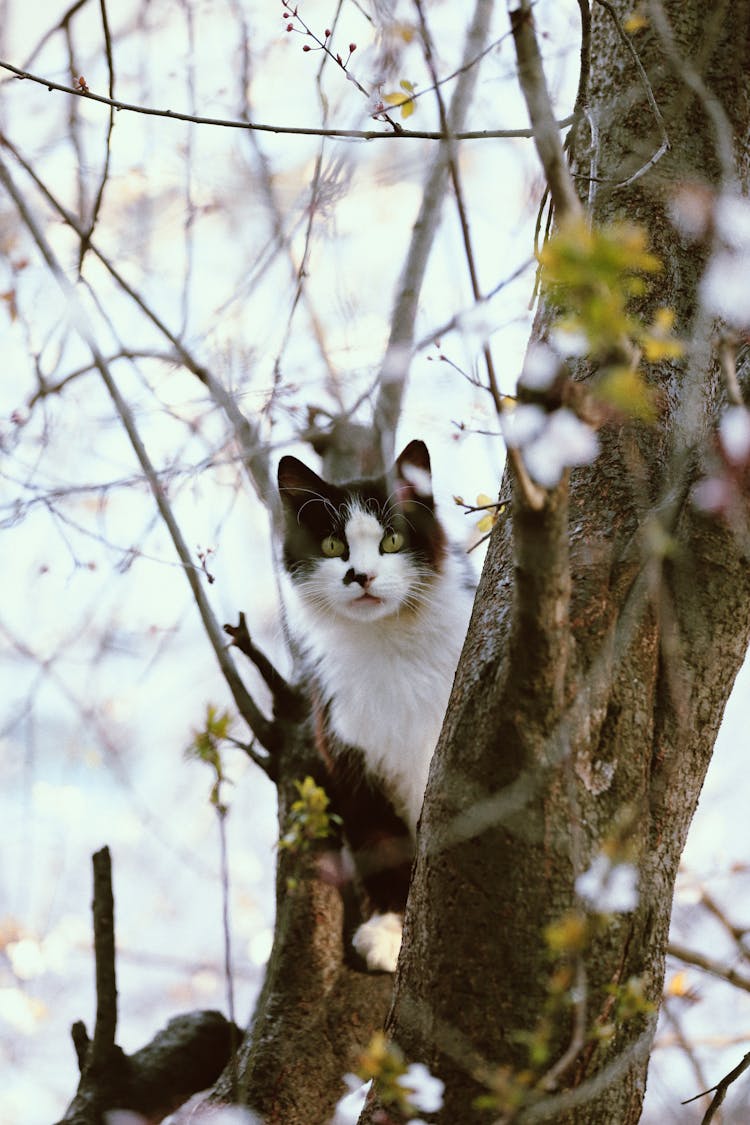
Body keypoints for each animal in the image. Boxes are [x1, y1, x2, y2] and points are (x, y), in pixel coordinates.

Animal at [275, 436, 474, 967]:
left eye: (392, 541)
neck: (389, 643)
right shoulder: (351, 756)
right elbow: (384, 850)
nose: (360, 575)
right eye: (332, 546)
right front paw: (389, 929)